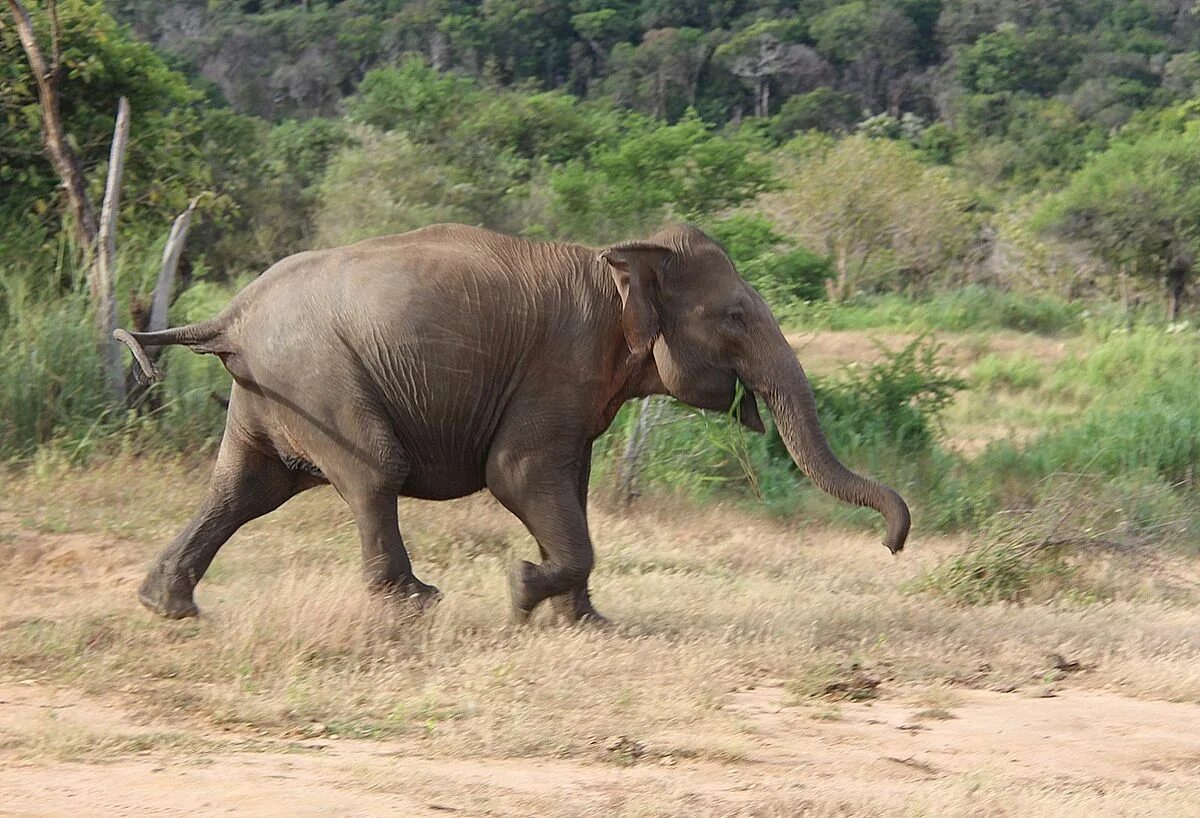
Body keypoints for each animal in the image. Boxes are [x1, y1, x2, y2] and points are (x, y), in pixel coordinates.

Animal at [119, 219, 907, 618]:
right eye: (737, 317)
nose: (894, 544)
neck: (618, 257)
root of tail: (230, 315)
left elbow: (571, 488)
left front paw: (588, 626)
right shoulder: (559, 365)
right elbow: (519, 475)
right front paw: (521, 590)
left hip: (273, 385)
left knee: (245, 489)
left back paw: (168, 608)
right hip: (316, 376)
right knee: (374, 471)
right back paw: (416, 606)